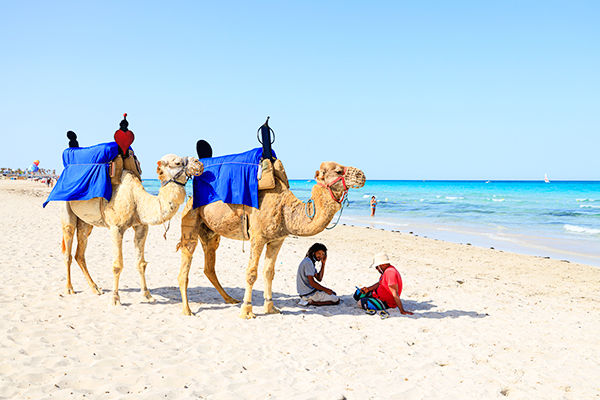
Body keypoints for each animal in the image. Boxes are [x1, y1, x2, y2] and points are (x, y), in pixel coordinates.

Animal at [62, 155, 204, 304]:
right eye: (177, 163)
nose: (198, 164)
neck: (136, 199)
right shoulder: (116, 228)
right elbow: (117, 265)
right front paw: (115, 299)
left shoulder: (141, 226)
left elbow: (141, 263)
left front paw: (147, 295)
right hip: (66, 210)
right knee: (68, 248)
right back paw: (69, 288)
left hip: (86, 222)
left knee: (80, 252)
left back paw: (96, 288)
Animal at [176, 160, 366, 318]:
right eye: (339, 170)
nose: (362, 175)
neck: (285, 210)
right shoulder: (258, 237)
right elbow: (251, 273)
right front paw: (247, 311)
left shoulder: (277, 240)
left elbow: (269, 272)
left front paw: (271, 308)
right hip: (190, 217)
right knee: (186, 261)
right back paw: (187, 310)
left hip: (210, 233)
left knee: (209, 265)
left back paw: (230, 299)